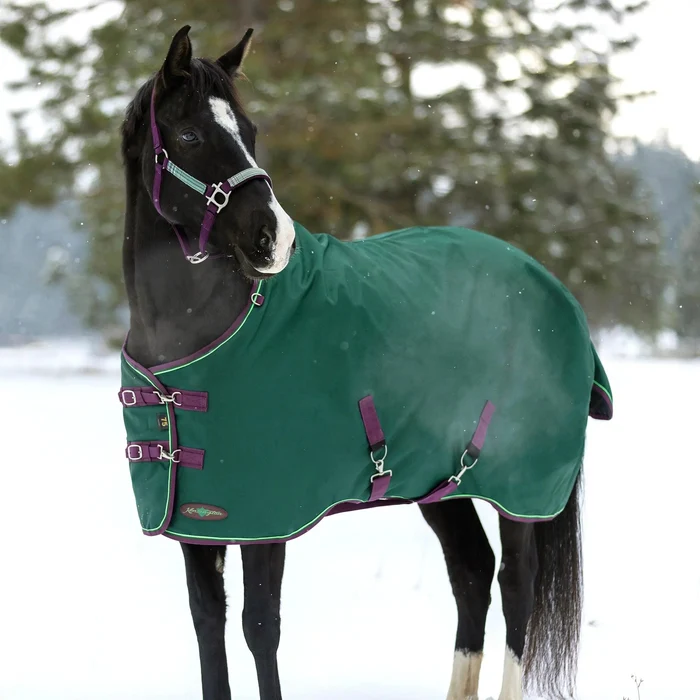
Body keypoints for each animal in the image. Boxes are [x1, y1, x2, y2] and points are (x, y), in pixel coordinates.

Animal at [120, 25, 606, 700]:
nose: (273, 238)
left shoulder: (267, 520)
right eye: (190, 136)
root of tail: (550, 285)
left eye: (250, 130)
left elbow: (260, 628)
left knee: (517, 583)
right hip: (443, 483)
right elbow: (208, 626)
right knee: (472, 571)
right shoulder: (200, 526)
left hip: (520, 488)